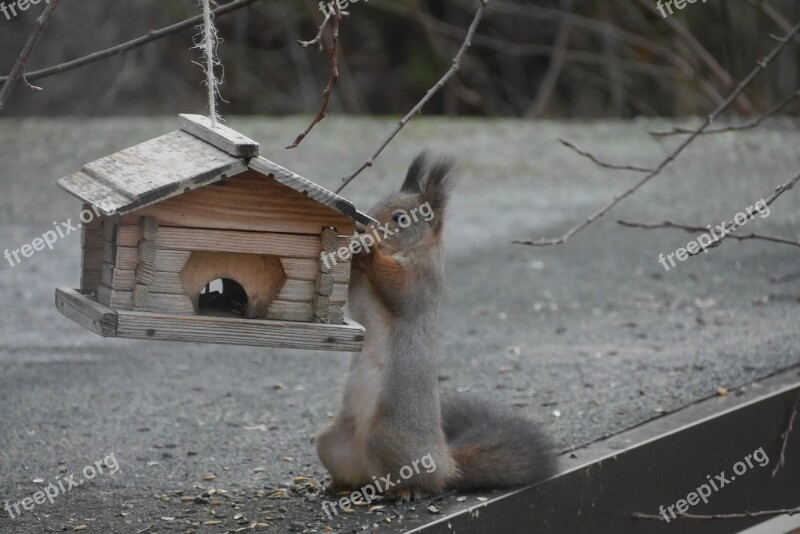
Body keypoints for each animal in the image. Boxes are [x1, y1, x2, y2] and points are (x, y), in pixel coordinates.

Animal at [314, 154, 556, 502]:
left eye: (400, 218)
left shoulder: (423, 278)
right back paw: (342, 485)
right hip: (332, 442)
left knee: (423, 480)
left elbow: (399, 289)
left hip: (389, 441)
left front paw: (368, 248)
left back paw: (407, 490)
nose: (361, 226)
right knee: (355, 473)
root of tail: (446, 462)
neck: (408, 249)